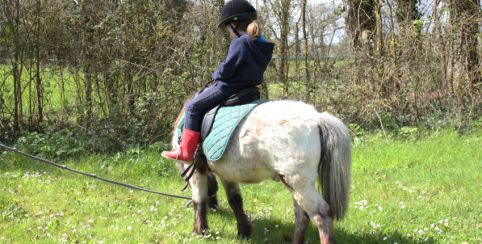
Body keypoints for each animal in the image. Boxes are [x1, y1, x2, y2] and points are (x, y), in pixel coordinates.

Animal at [169, 100, 350, 243]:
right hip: (296, 184)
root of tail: (316, 118)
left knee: (321, 214)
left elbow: (198, 200)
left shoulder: (196, 170)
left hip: (300, 184)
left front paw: (200, 231)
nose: (215, 208)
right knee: (302, 216)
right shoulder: (227, 173)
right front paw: (243, 232)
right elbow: (235, 200)